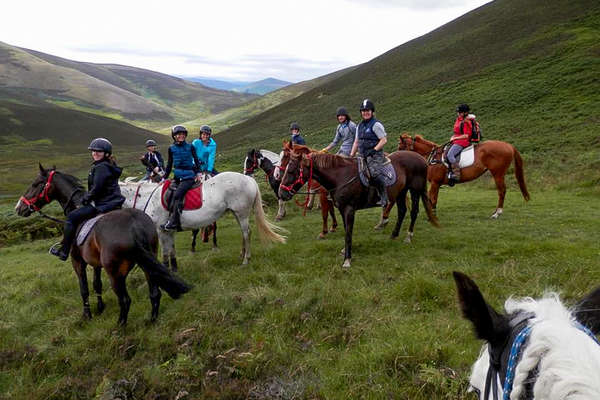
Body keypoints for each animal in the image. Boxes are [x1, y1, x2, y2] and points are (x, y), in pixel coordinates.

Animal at [15, 165, 191, 324]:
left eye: (35, 184)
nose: (19, 207)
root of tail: (134, 227)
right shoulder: (96, 263)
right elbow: (97, 284)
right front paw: (100, 308)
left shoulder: (77, 261)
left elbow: (84, 289)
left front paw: (87, 315)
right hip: (147, 264)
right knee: (155, 293)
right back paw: (152, 320)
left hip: (115, 273)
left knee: (125, 300)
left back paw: (120, 327)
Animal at [119, 170, 286, 268]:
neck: (149, 197)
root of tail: (249, 179)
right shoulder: (169, 231)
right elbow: (172, 251)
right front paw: (175, 269)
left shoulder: (161, 231)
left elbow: (165, 253)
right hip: (236, 213)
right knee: (244, 233)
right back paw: (242, 254)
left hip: (242, 213)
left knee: (246, 233)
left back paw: (246, 259)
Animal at [278, 145, 438, 268]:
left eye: (291, 171)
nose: (281, 193)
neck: (340, 176)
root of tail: (421, 158)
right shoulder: (342, 209)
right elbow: (346, 230)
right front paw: (345, 250)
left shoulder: (349, 209)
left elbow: (348, 233)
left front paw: (347, 260)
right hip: (401, 192)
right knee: (402, 211)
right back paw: (394, 234)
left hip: (415, 190)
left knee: (414, 212)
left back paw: (408, 236)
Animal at [398, 133, 528, 217]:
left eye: (400, 146)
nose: (397, 158)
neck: (433, 157)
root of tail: (508, 145)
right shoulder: (437, 184)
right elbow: (434, 199)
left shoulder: (434, 183)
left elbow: (432, 199)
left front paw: (432, 215)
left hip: (498, 174)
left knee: (502, 191)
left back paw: (497, 213)